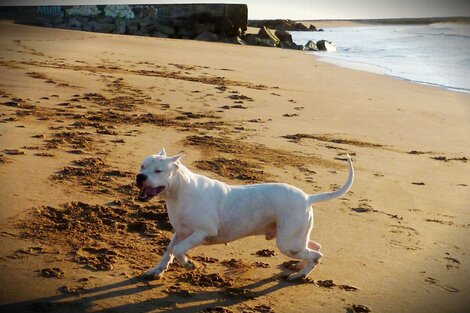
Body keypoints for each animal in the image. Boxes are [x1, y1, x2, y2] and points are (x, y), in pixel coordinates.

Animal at [136, 147, 352, 280]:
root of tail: (307, 198)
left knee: (316, 254)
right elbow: (169, 250)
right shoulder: (181, 232)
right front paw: (157, 270)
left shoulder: (203, 232)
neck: (179, 193)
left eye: (158, 171)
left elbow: (179, 249)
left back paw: (300, 275)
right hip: (295, 238)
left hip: (287, 242)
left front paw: (189, 265)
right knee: (313, 247)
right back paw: (299, 267)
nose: (140, 177)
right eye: (142, 166)